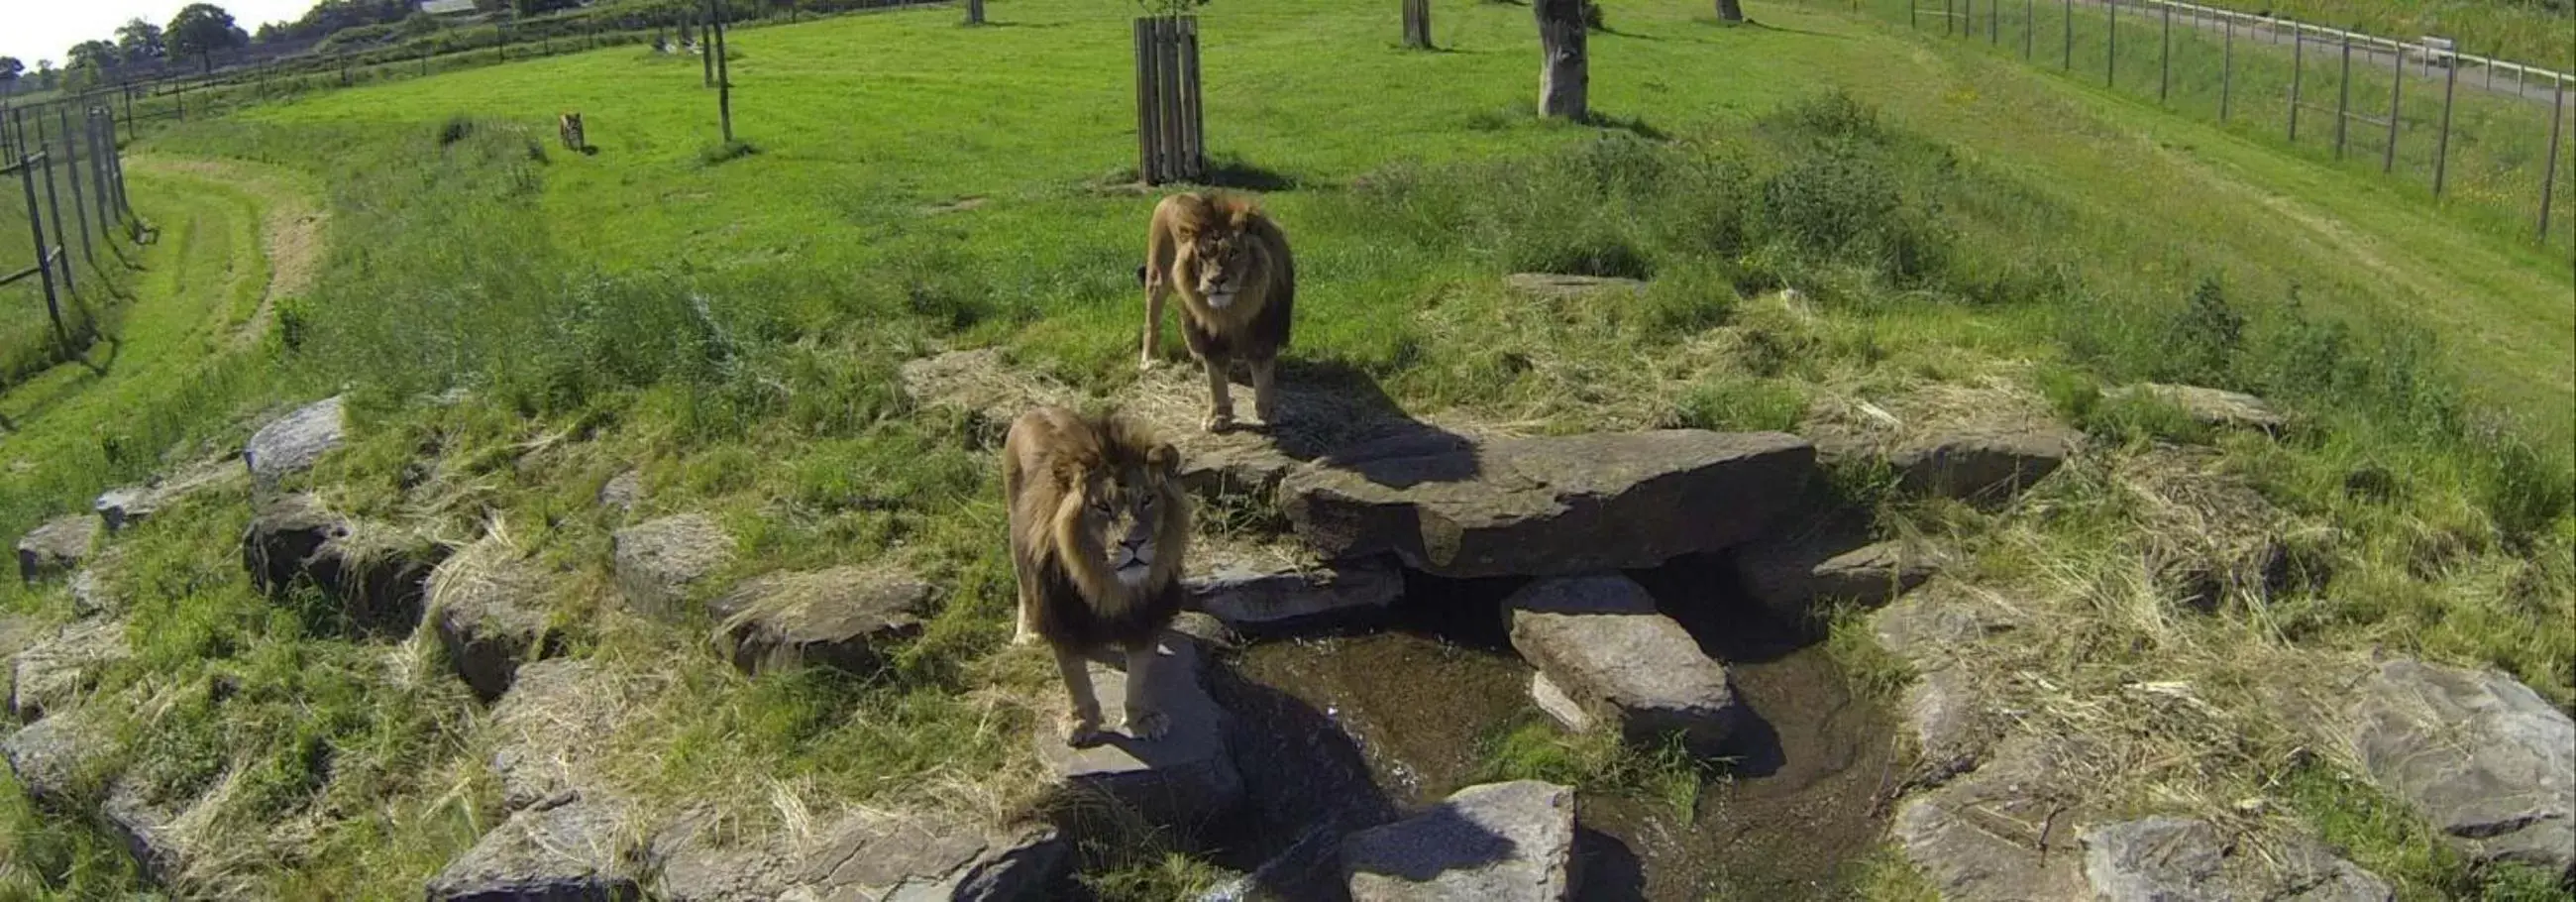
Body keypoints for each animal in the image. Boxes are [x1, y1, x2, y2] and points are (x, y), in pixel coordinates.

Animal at [999, 404, 1190, 741]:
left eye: (1147, 499)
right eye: (1102, 507)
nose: (1134, 543)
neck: (1105, 582)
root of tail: (1037, 408)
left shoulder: (1145, 615)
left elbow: (1139, 673)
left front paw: (1142, 719)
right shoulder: (1060, 615)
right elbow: (1073, 675)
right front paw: (1081, 722)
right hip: (1015, 527)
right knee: (1022, 585)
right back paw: (1026, 633)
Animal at [1143, 190, 1298, 432]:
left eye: (1233, 252)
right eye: (1202, 255)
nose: (1216, 280)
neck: (1234, 308)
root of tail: (1175, 194)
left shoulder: (1265, 330)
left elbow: (1264, 374)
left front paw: (1268, 412)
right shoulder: (1208, 336)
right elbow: (1215, 378)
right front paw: (1219, 416)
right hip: (1158, 277)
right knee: (1152, 321)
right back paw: (1148, 361)